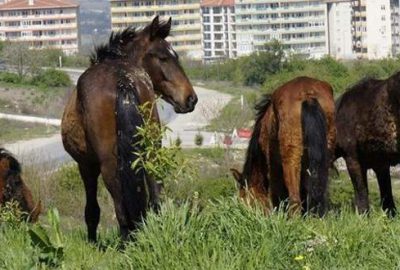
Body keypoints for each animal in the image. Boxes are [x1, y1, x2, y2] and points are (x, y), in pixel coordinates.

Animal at [61, 15, 198, 242]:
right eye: (164, 58)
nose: (190, 98)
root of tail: (122, 80)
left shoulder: (86, 165)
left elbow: (92, 210)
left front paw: (92, 241)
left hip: (108, 165)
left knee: (121, 207)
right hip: (151, 152)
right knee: (155, 194)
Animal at [230, 77, 336, 216]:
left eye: (244, 199)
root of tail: (308, 95)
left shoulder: (273, 166)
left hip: (290, 156)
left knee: (295, 199)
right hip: (326, 150)